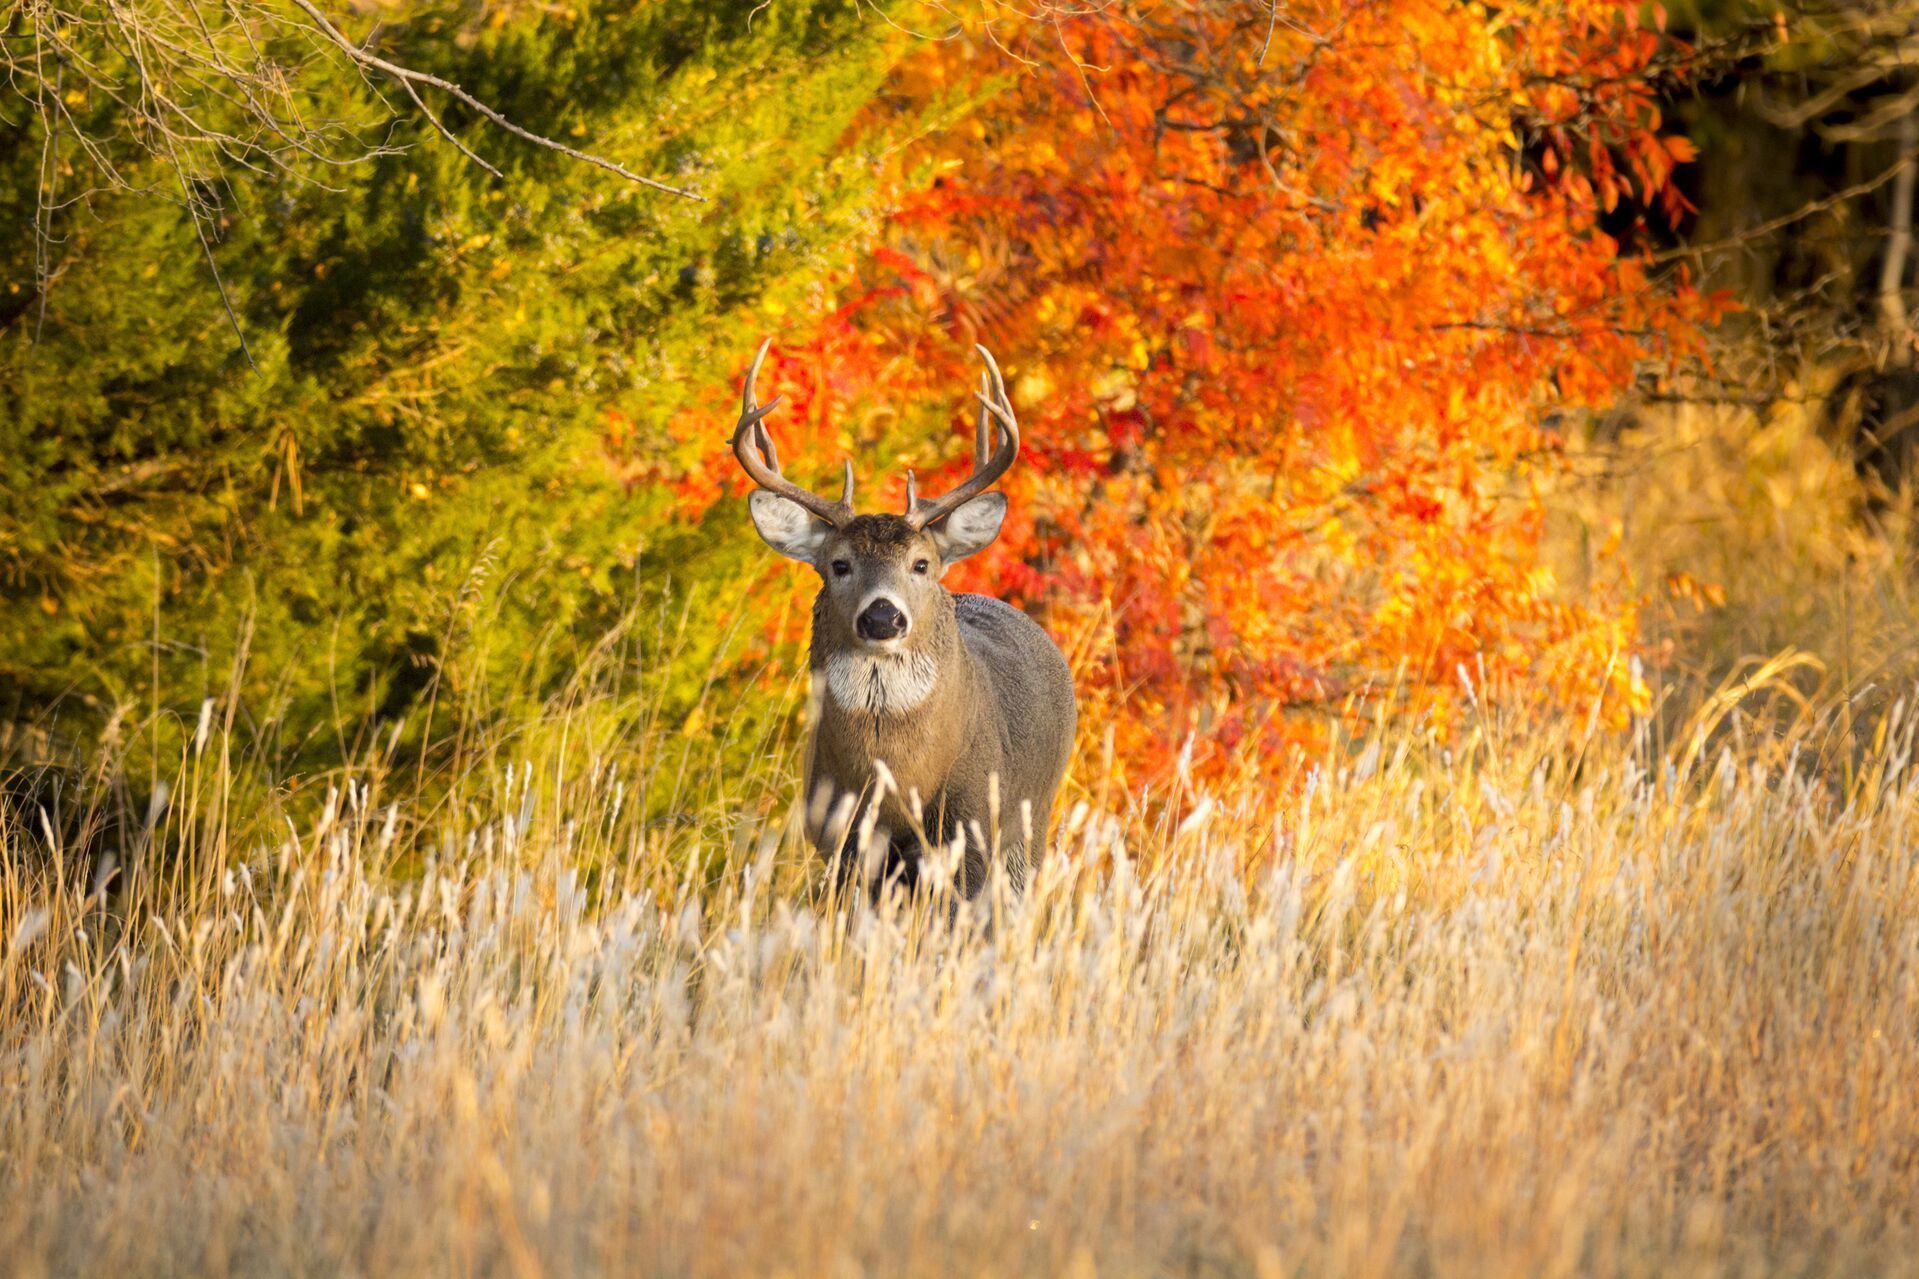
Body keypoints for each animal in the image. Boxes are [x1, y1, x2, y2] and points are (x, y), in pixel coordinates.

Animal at [731, 340, 1077, 901]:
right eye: (839, 564)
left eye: (921, 564)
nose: (882, 616)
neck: (896, 780)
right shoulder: (842, 839)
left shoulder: (971, 830)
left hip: (1032, 820)